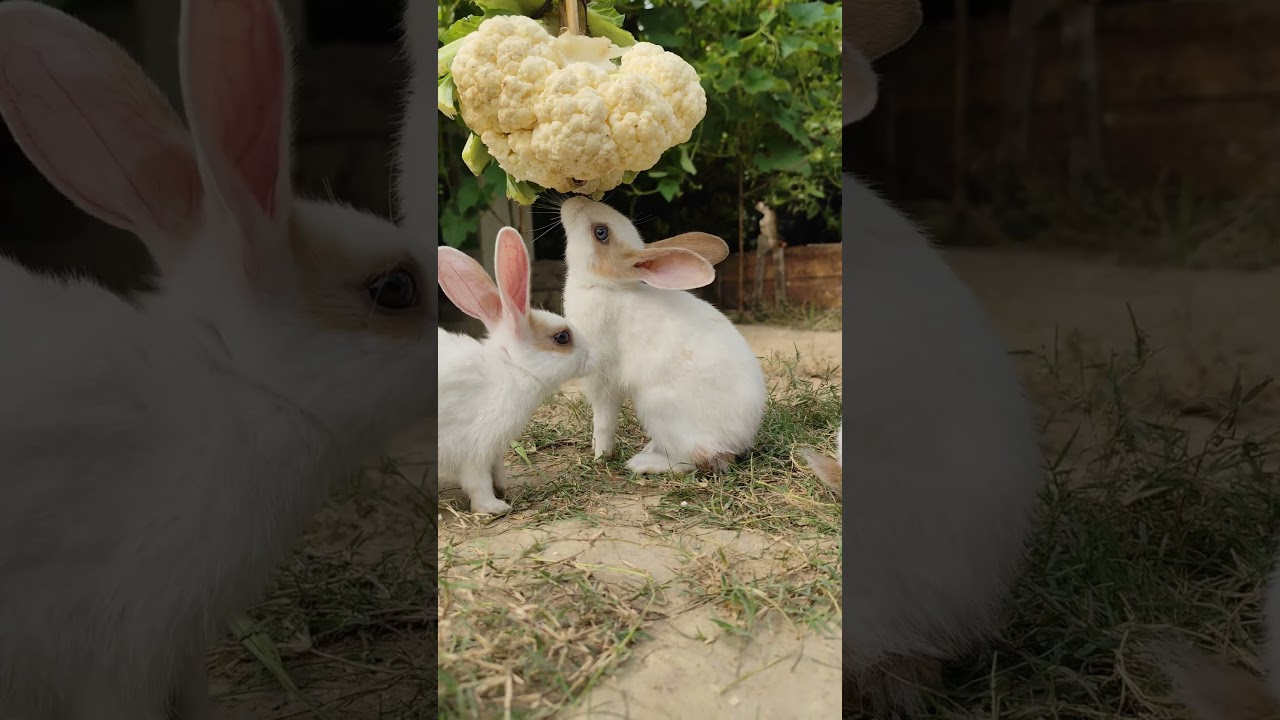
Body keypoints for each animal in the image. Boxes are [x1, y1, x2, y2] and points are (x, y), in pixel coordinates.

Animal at [437, 227, 592, 515]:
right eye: (562, 337)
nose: (593, 354)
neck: (510, 368)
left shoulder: (493, 450)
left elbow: (496, 470)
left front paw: (503, 487)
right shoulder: (475, 449)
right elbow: (478, 484)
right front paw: (495, 507)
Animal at [559, 197, 767, 476]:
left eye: (600, 233)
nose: (574, 200)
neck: (605, 285)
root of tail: (737, 442)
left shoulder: (601, 378)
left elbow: (603, 420)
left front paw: (600, 455)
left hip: (657, 408)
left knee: (694, 460)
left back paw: (643, 463)